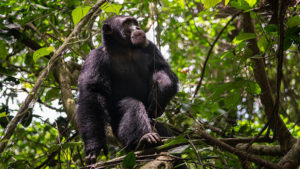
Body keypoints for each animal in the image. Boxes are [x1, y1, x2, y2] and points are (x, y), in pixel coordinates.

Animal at [77, 16, 178, 165]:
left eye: (134, 22)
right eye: (127, 23)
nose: (137, 27)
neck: (124, 49)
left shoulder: (150, 47)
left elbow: (161, 69)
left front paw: (159, 96)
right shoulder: (94, 58)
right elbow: (93, 92)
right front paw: (93, 146)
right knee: (131, 105)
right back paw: (144, 140)